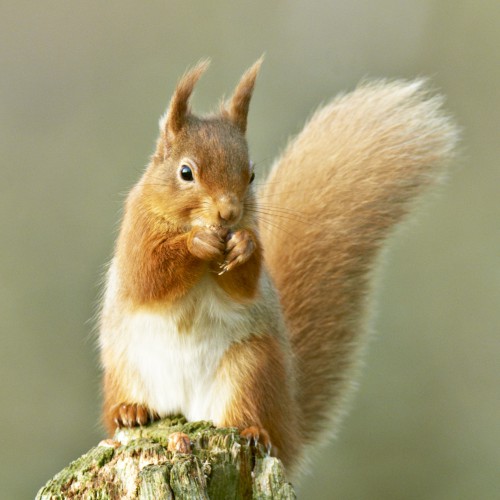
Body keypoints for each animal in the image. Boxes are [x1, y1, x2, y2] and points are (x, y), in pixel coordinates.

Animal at [97, 58, 458, 476]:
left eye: (251, 173)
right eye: (185, 172)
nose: (229, 213)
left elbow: (245, 285)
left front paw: (243, 247)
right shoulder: (136, 235)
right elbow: (149, 277)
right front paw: (196, 243)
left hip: (250, 368)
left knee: (246, 416)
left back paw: (253, 431)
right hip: (126, 366)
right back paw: (131, 411)